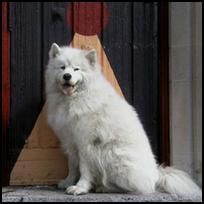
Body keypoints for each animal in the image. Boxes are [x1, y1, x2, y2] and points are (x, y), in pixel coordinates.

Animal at [45, 42, 201, 196]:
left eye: (76, 69)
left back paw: (105, 188)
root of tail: (157, 175)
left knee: (138, 188)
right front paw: (68, 182)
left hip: (110, 154)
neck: (74, 99)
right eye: (62, 67)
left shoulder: (86, 144)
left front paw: (80, 188)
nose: (67, 76)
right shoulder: (71, 141)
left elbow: (84, 169)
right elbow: (72, 165)